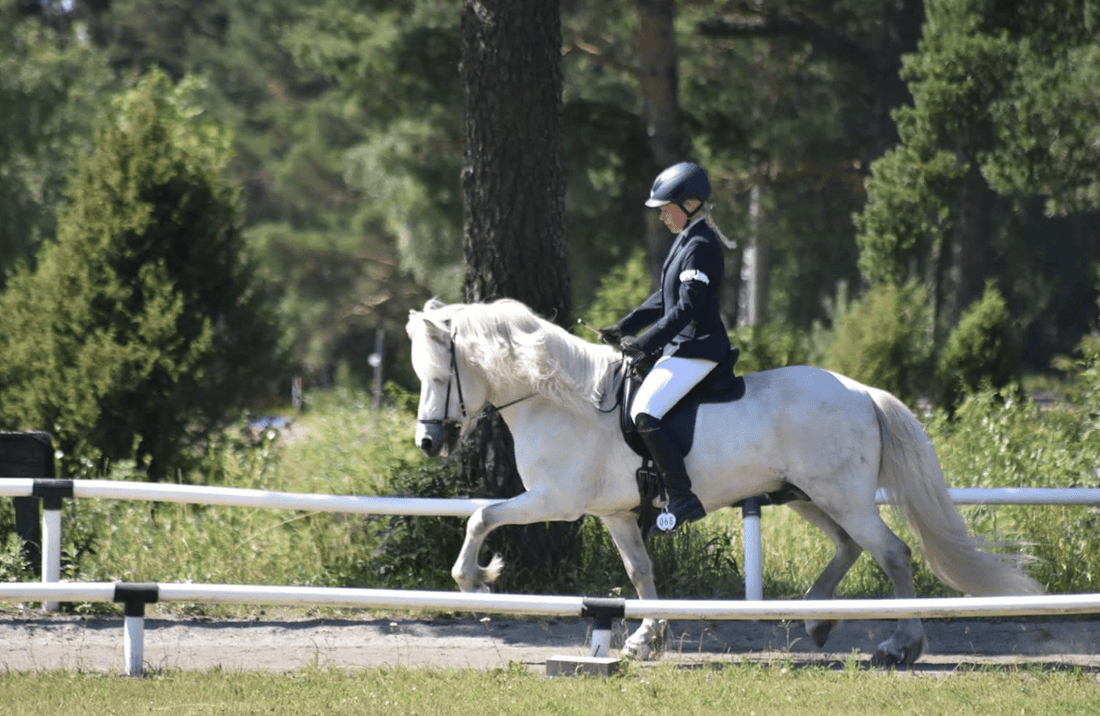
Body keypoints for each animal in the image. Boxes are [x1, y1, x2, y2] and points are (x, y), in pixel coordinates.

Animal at [407, 296, 1038, 668]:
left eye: (438, 376)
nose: (429, 444)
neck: (560, 398)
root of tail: (861, 391)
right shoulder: (613, 512)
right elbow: (641, 572)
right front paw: (647, 637)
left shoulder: (556, 501)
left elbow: (481, 515)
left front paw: (477, 579)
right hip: (809, 497)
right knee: (850, 546)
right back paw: (816, 618)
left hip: (841, 496)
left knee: (893, 553)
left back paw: (900, 646)